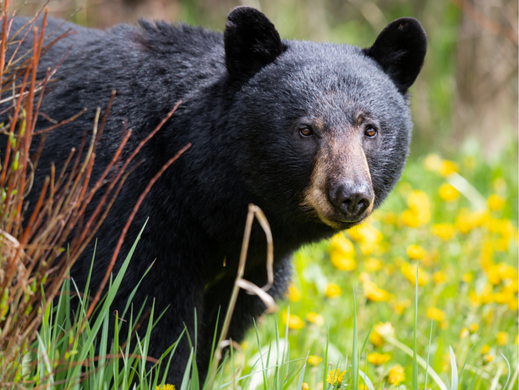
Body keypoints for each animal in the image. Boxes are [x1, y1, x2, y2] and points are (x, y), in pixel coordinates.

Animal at [5, 6, 426, 386]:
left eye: (370, 129)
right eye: (305, 130)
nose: (350, 194)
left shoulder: (250, 267)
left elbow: (219, 331)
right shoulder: (122, 202)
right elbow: (138, 321)